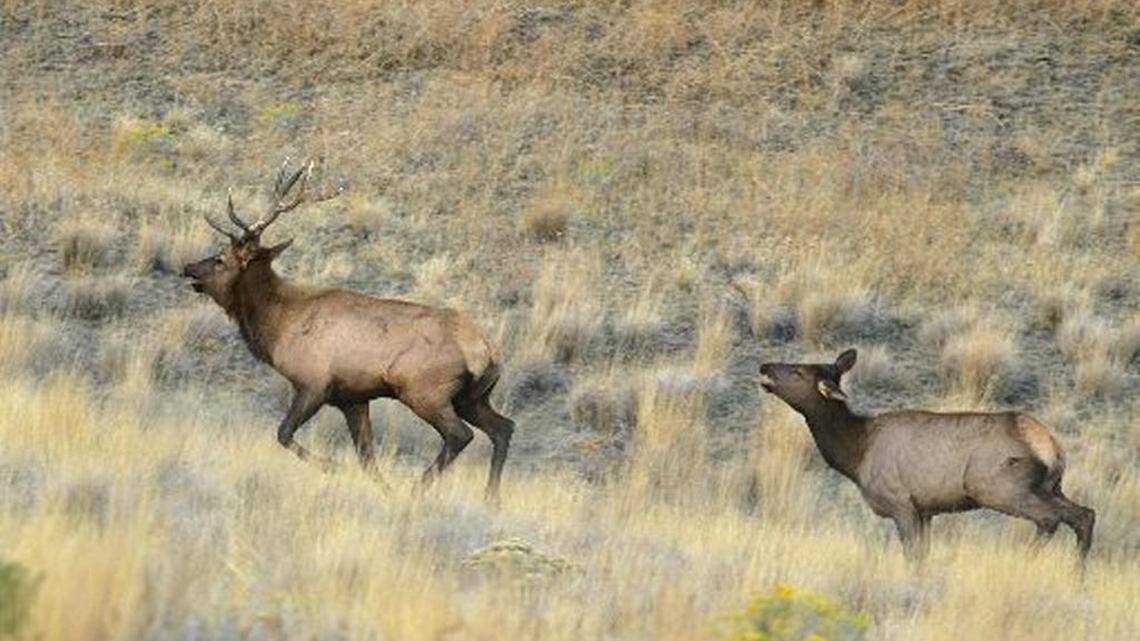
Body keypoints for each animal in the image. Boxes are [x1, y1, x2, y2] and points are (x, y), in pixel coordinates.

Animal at [181, 159, 515, 502]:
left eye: (220, 259)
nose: (188, 267)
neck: (279, 325)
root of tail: (487, 350)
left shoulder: (314, 383)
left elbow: (284, 433)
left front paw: (334, 467)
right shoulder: (353, 398)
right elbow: (366, 455)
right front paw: (383, 489)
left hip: (424, 391)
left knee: (461, 435)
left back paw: (418, 488)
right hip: (472, 398)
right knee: (504, 428)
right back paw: (491, 497)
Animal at [758, 349, 1094, 561]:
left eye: (798, 372)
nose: (764, 367)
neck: (855, 454)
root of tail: (1051, 447)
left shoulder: (901, 503)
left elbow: (913, 556)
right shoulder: (925, 510)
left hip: (997, 487)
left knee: (1051, 518)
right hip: (1052, 486)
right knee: (1083, 515)